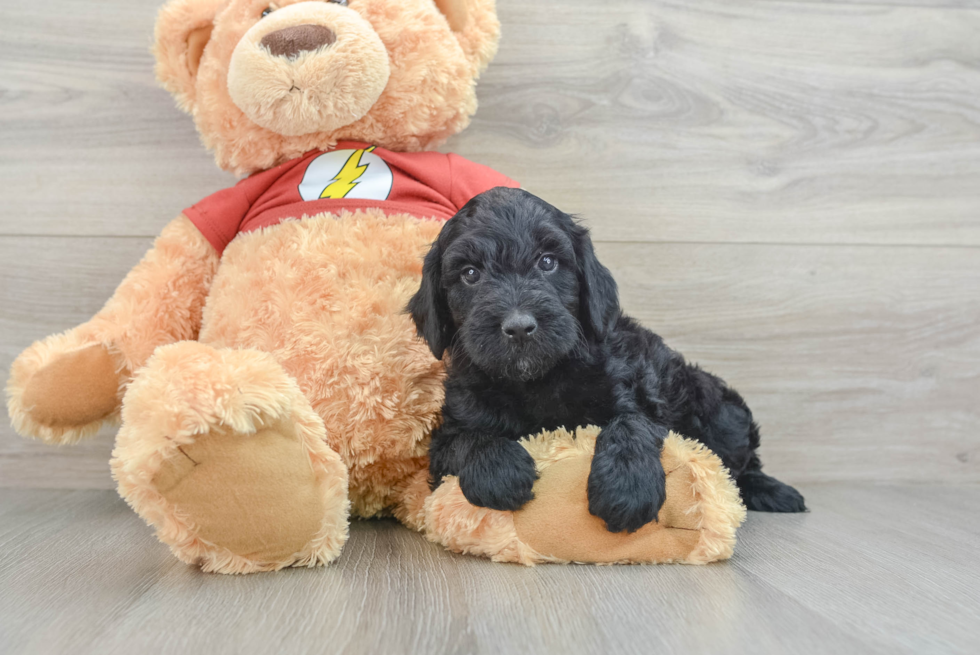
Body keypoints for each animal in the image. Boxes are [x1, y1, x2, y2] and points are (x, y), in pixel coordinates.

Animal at [406, 186, 804, 532]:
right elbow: (466, 439)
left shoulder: (637, 395)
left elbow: (630, 424)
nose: (519, 327)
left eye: (547, 262)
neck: (537, 380)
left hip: (724, 414)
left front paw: (627, 488)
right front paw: (499, 471)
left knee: (740, 464)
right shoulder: (450, 430)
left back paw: (773, 492)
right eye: (470, 274)